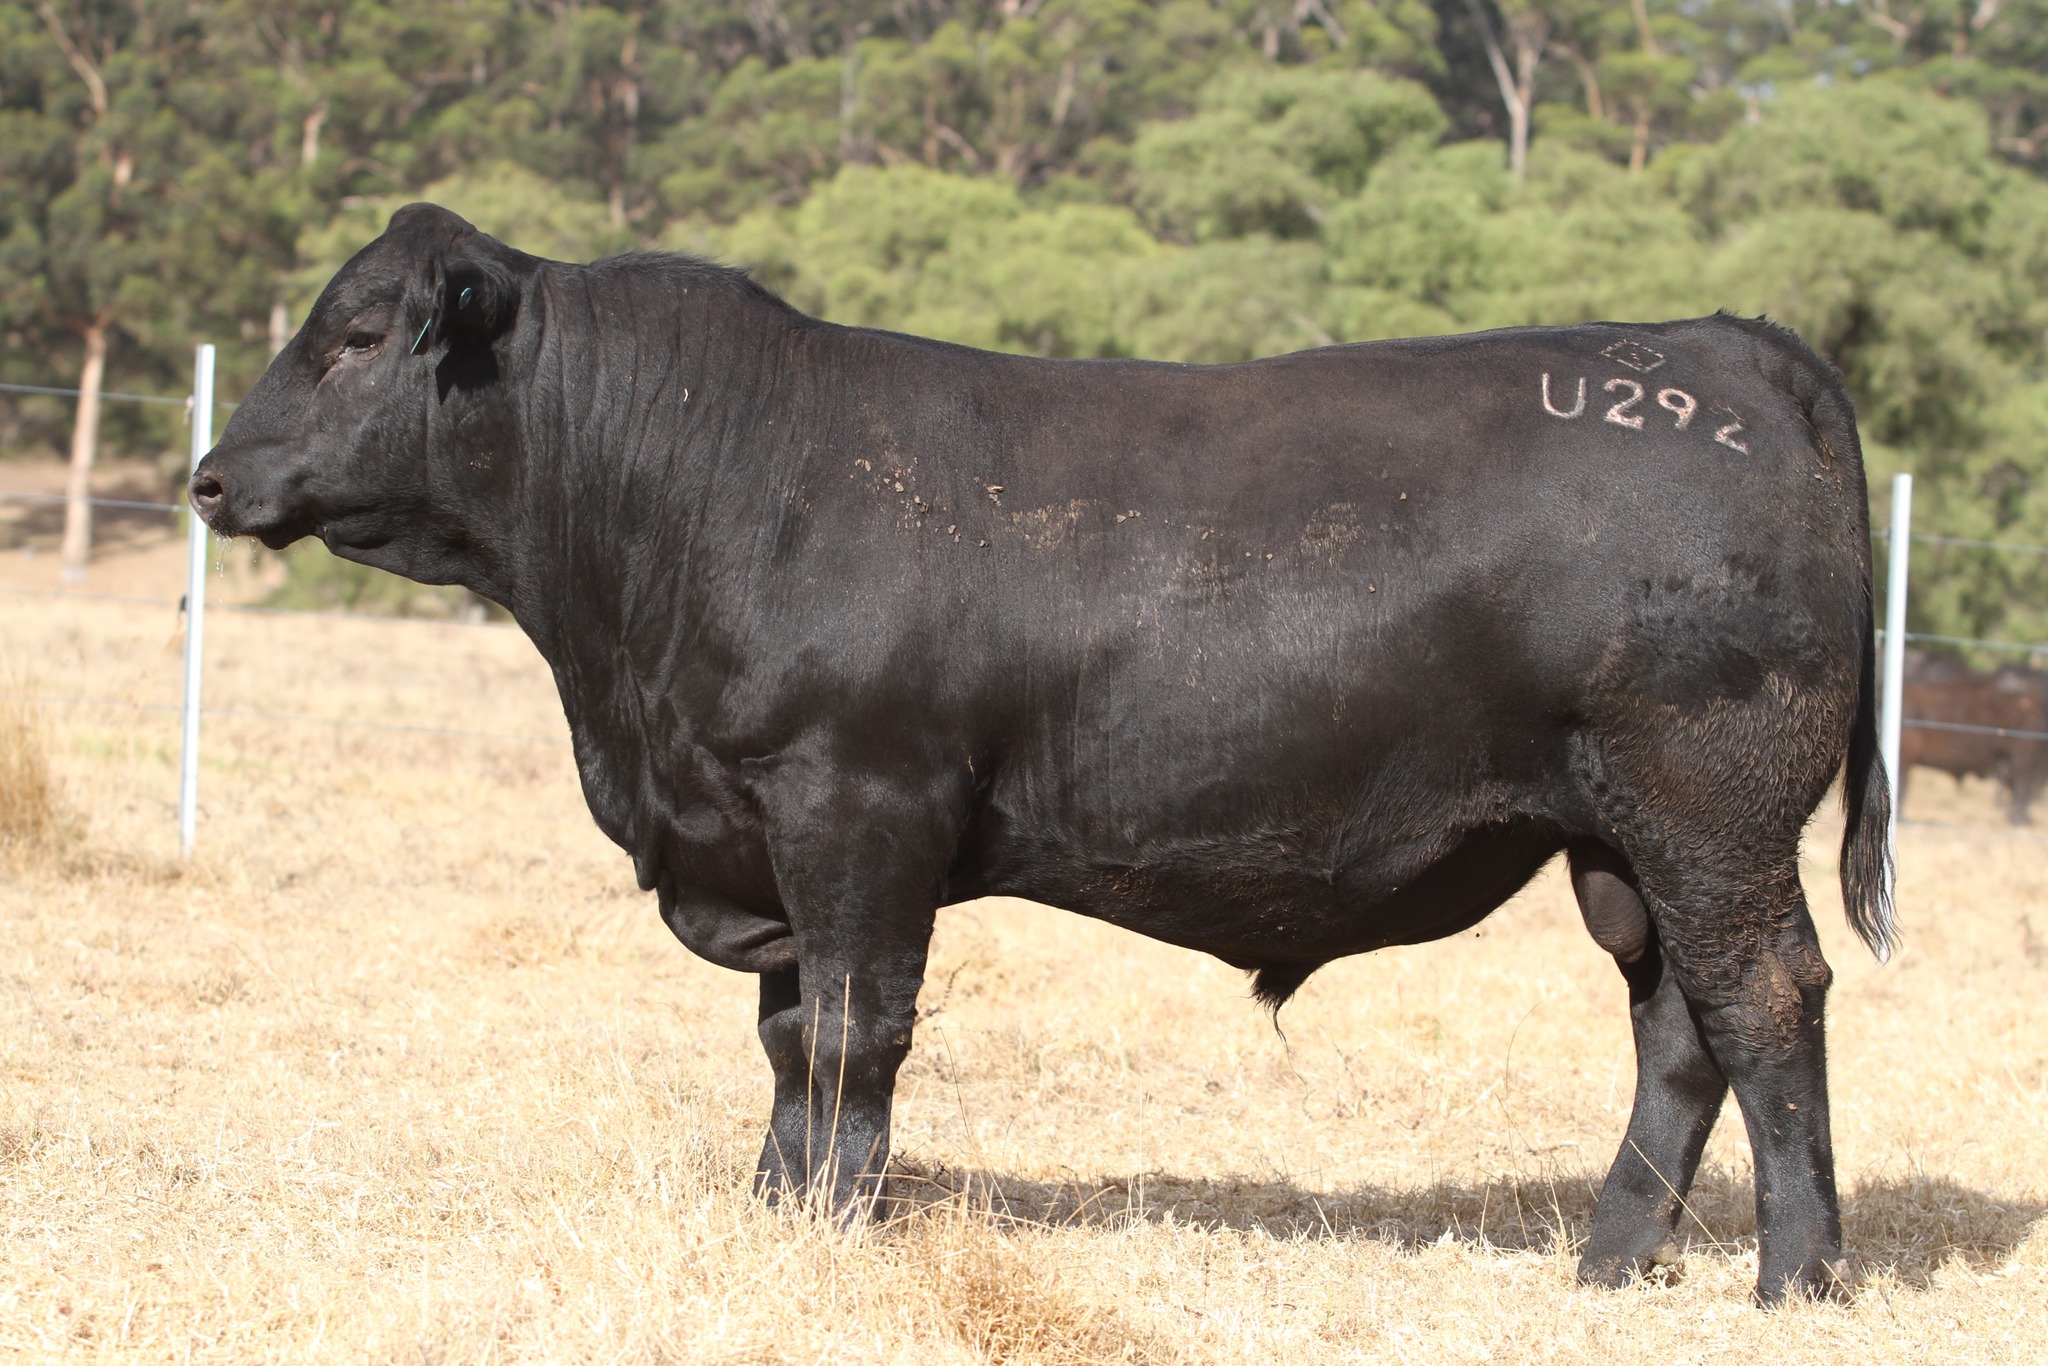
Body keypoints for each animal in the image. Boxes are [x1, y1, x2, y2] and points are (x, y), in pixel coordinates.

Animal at [189, 204, 1893, 1304]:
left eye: (357, 335)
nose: (209, 476)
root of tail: (1729, 349)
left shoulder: (858, 807)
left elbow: (853, 1032)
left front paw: (838, 1225)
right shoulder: (765, 836)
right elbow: (785, 1035)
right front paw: (778, 1210)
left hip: (1709, 805)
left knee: (1766, 998)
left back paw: (1797, 1277)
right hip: (1619, 837)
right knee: (1677, 1026)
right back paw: (1609, 1261)